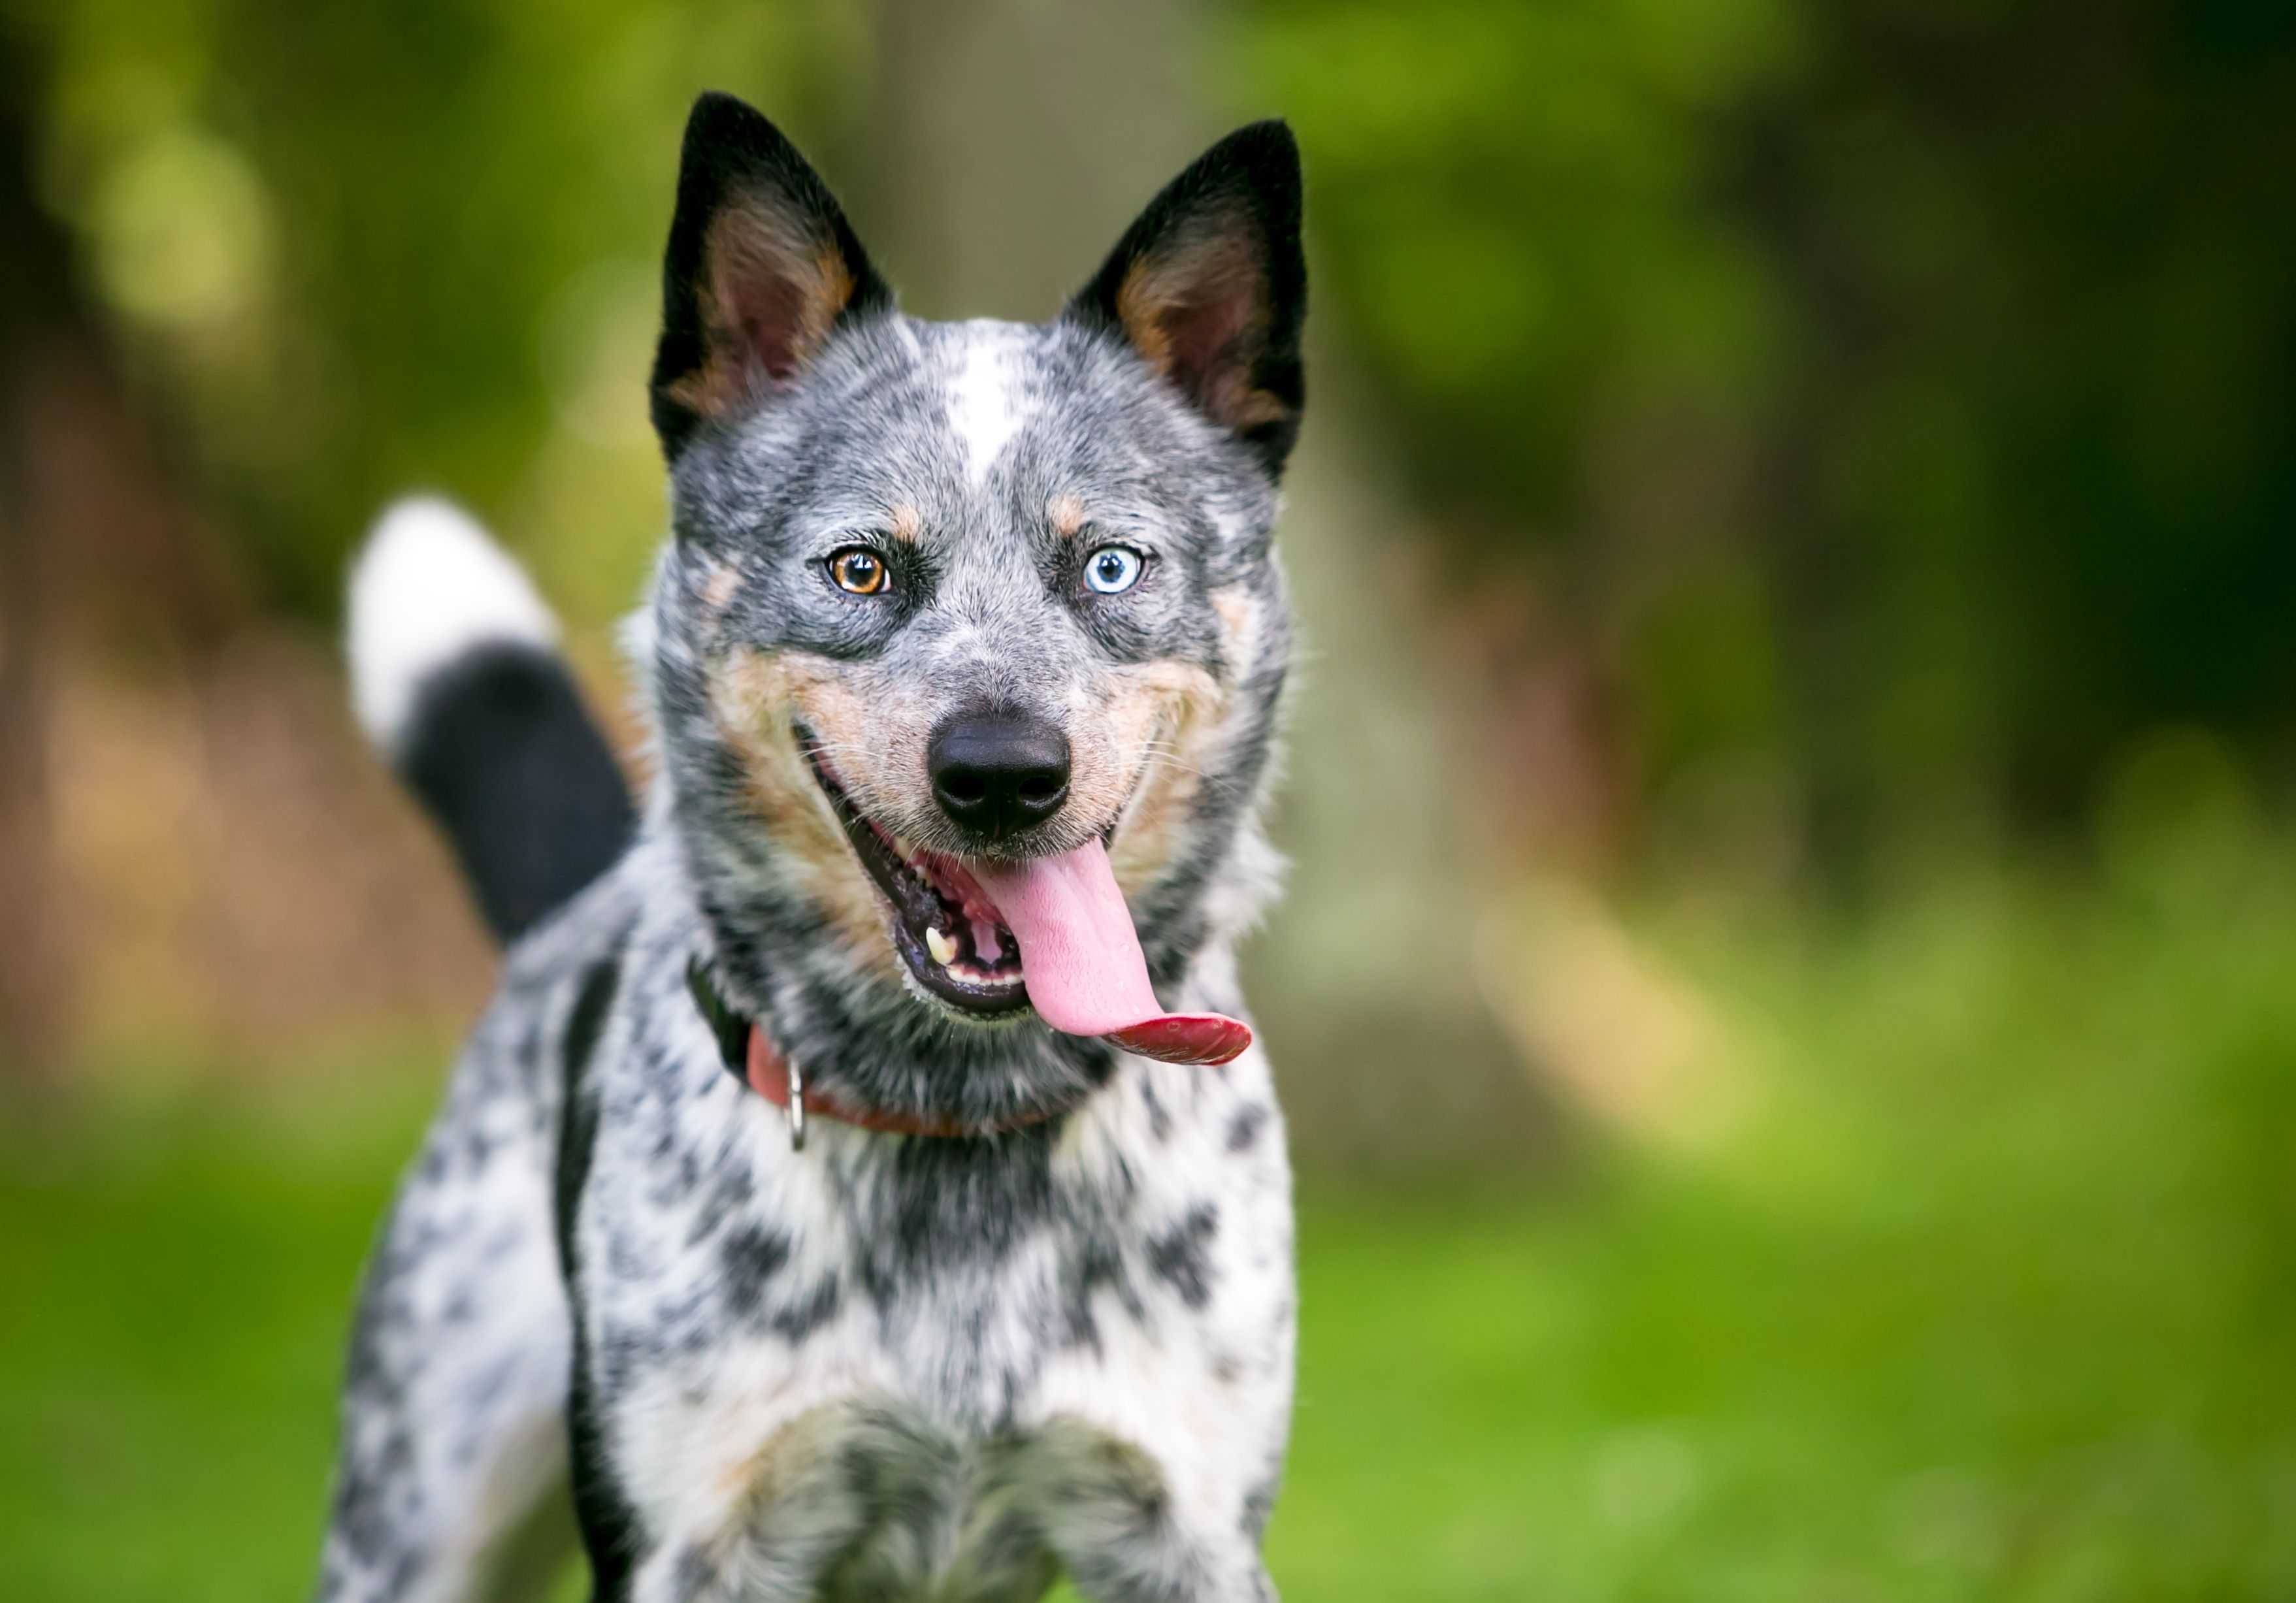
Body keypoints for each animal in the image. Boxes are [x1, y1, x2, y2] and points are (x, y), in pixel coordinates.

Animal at [319, 97, 1313, 1598]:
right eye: (860, 568)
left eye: (1108, 567)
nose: (1003, 773)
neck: (958, 1117)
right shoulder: (689, 1541)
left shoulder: (1188, 1535)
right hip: (414, 1508)